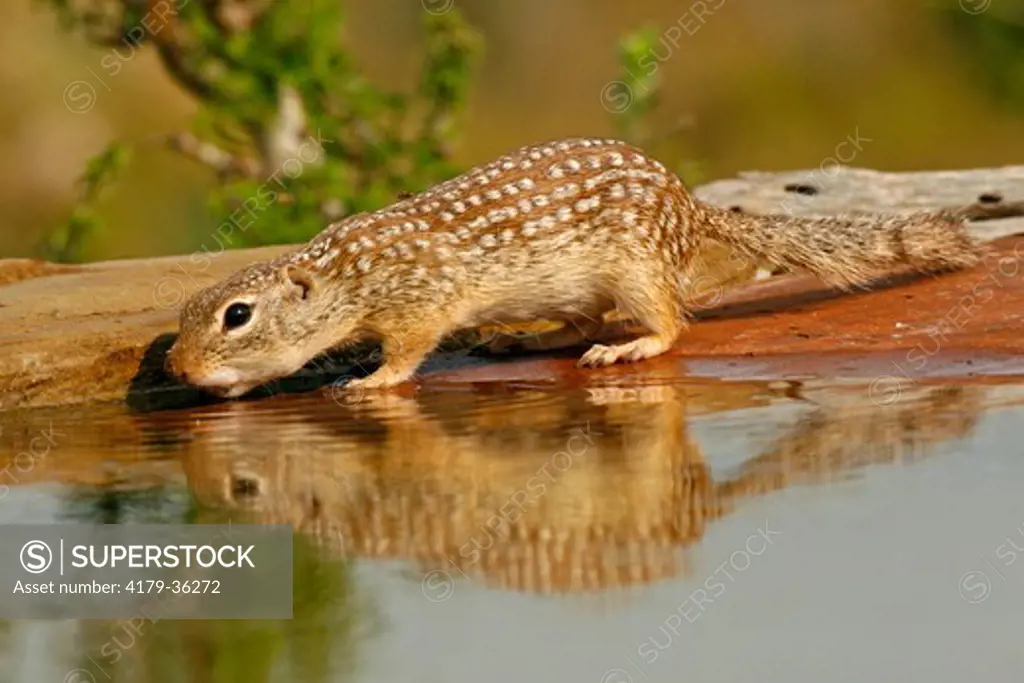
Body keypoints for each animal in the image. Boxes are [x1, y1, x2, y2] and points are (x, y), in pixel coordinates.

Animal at [163, 136, 978, 397]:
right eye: (184, 315)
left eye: (237, 316)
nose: (175, 367)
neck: (348, 272)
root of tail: (690, 206)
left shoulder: (421, 300)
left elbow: (406, 350)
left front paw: (368, 381)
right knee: (580, 320)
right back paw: (524, 338)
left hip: (635, 269)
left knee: (668, 323)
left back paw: (628, 346)